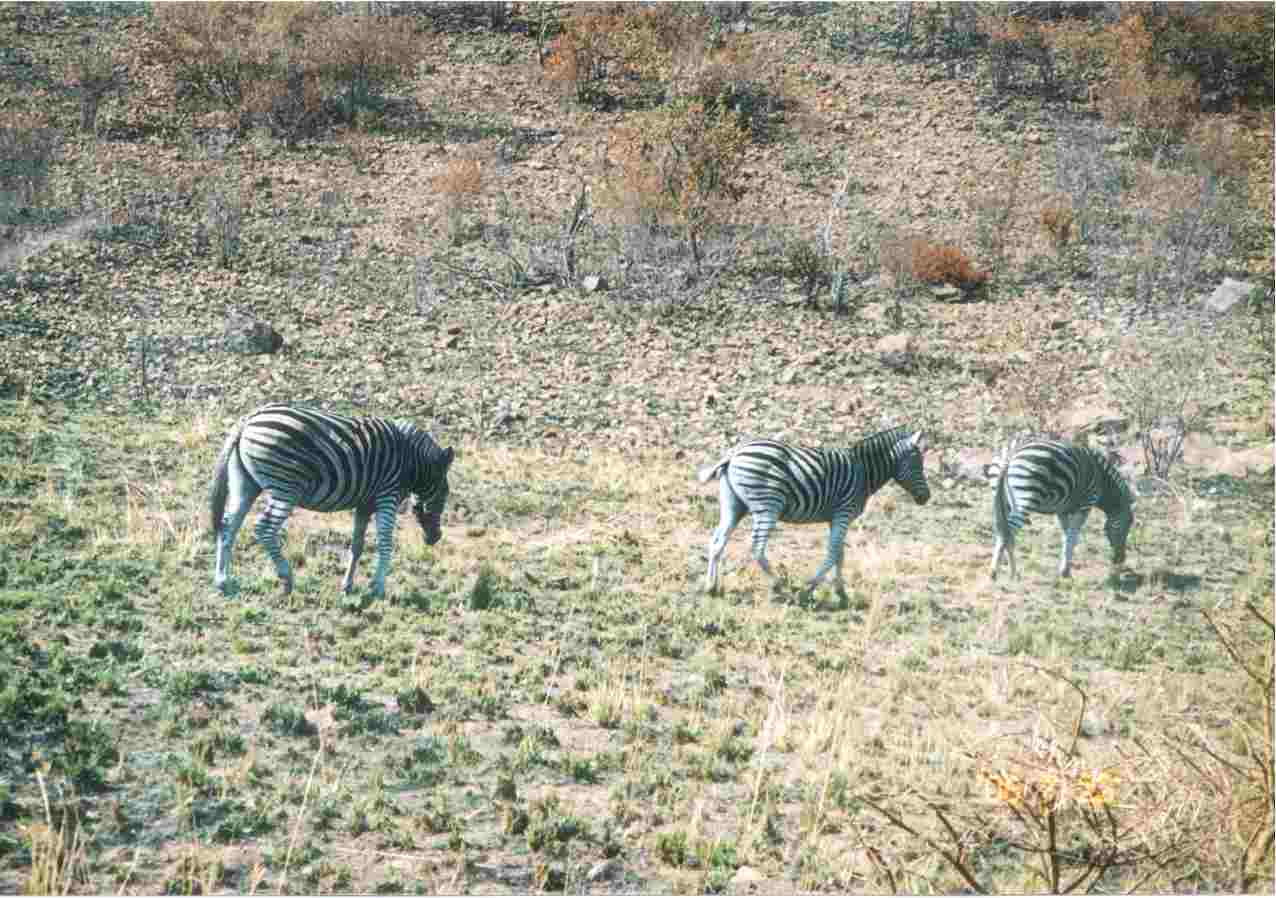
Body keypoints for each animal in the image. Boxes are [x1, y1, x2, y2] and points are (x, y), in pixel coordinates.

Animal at [209, 404, 454, 598]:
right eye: (445, 495)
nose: (436, 538)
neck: (412, 461)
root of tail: (248, 420)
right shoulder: (387, 497)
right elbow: (385, 542)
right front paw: (378, 587)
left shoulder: (365, 504)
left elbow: (357, 545)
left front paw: (347, 585)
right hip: (285, 487)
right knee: (264, 528)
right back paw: (287, 577)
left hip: (246, 483)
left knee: (229, 526)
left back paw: (222, 581)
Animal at [698, 427, 931, 599]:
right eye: (918, 464)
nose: (926, 498)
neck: (863, 471)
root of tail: (734, 453)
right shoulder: (844, 513)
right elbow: (833, 553)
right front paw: (809, 587)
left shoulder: (835, 518)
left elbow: (840, 554)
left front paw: (841, 592)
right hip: (768, 505)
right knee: (757, 548)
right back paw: (780, 585)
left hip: (734, 506)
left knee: (717, 542)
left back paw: (712, 587)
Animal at [990, 438, 1134, 581]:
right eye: (1128, 524)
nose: (1120, 559)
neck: (1103, 481)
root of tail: (1011, 454)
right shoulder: (1086, 503)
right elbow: (1073, 536)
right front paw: (1065, 571)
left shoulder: (1062, 510)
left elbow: (1066, 536)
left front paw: (1064, 569)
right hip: (1026, 496)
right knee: (1008, 533)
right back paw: (1008, 573)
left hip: (1003, 501)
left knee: (1003, 531)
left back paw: (1003, 572)